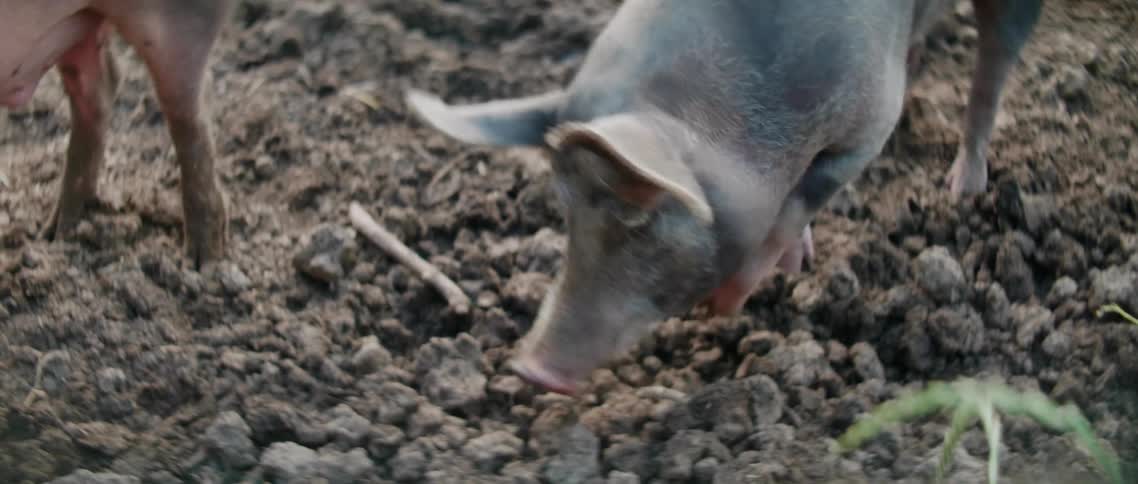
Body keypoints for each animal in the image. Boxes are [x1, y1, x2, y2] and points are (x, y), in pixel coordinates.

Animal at [1, 1, 233, 268]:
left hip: (181, 22)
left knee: (190, 113)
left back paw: (199, 261)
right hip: (80, 30)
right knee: (102, 88)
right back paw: (57, 233)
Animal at [404, 0, 1041, 394]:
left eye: (640, 217)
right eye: (564, 212)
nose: (530, 368)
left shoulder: (862, 128)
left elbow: (792, 211)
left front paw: (728, 306)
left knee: (992, 70)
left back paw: (964, 191)